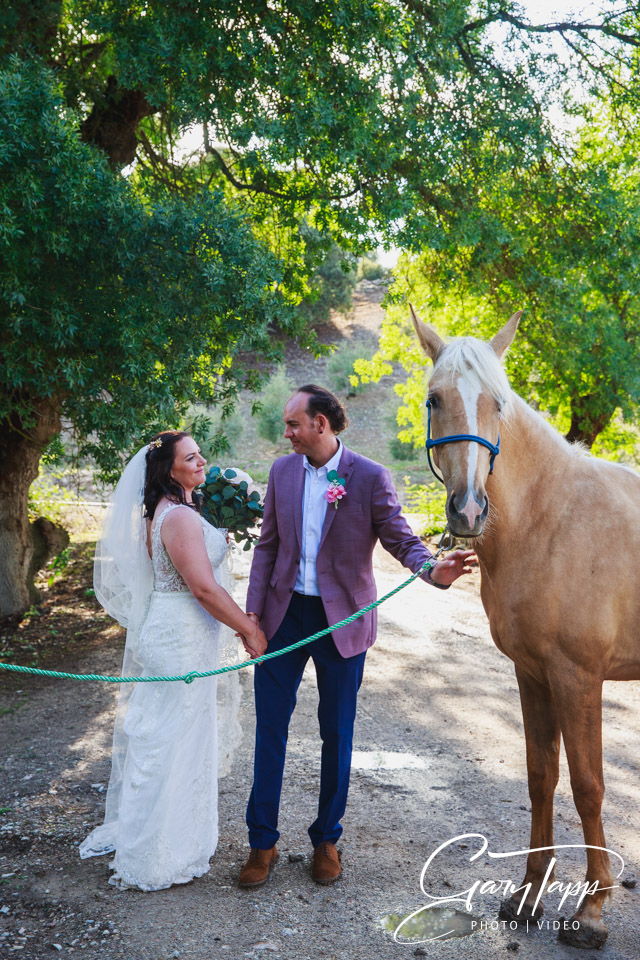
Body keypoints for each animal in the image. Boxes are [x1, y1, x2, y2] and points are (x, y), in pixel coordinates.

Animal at [412, 304, 636, 948]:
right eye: (435, 399)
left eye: (498, 402)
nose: (468, 510)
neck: (551, 518)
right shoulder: (534, 674)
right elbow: (542, 776)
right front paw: (530, 895)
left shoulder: (579, 678)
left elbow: (588, 784)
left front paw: (592, 910)